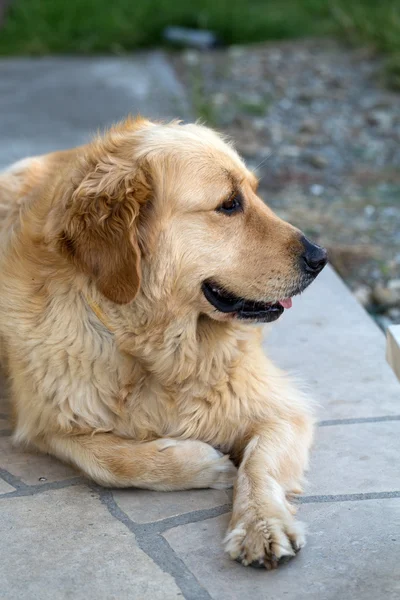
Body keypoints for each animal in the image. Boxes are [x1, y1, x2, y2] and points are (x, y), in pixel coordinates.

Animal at [0, 116, 326, 568]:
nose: (320, 258)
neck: (157, 349)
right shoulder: (48, 421)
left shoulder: (281, 410)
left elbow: (259, 466)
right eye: (229, 204)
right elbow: (107, 461)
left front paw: (261, 524)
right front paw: (203, 464)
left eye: (256, 194)